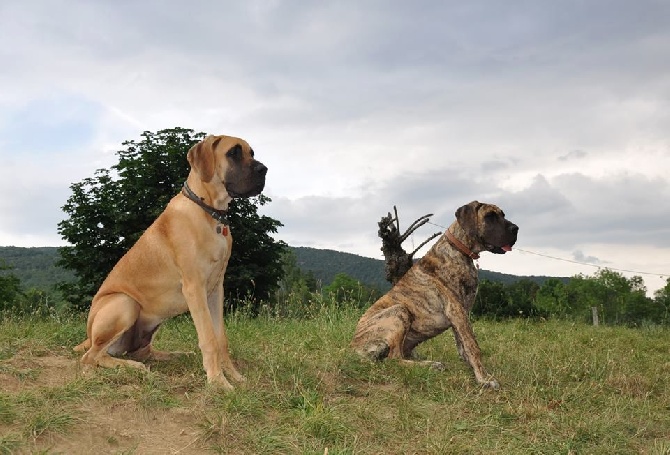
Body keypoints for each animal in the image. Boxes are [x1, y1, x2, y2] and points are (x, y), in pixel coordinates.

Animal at [75, 135, 268, 392]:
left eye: (252, 152)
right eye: (233, 153)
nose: (264, 170)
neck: (209, 211)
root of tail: (87, 336)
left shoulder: (216, 290)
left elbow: (221, 338)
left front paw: (234, 376)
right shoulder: (195, 288)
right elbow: (209, 338)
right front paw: (218, 381)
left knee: (140, 352)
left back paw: (175, 355)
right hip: (125, 303)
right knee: (91, 358)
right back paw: (129, 368)